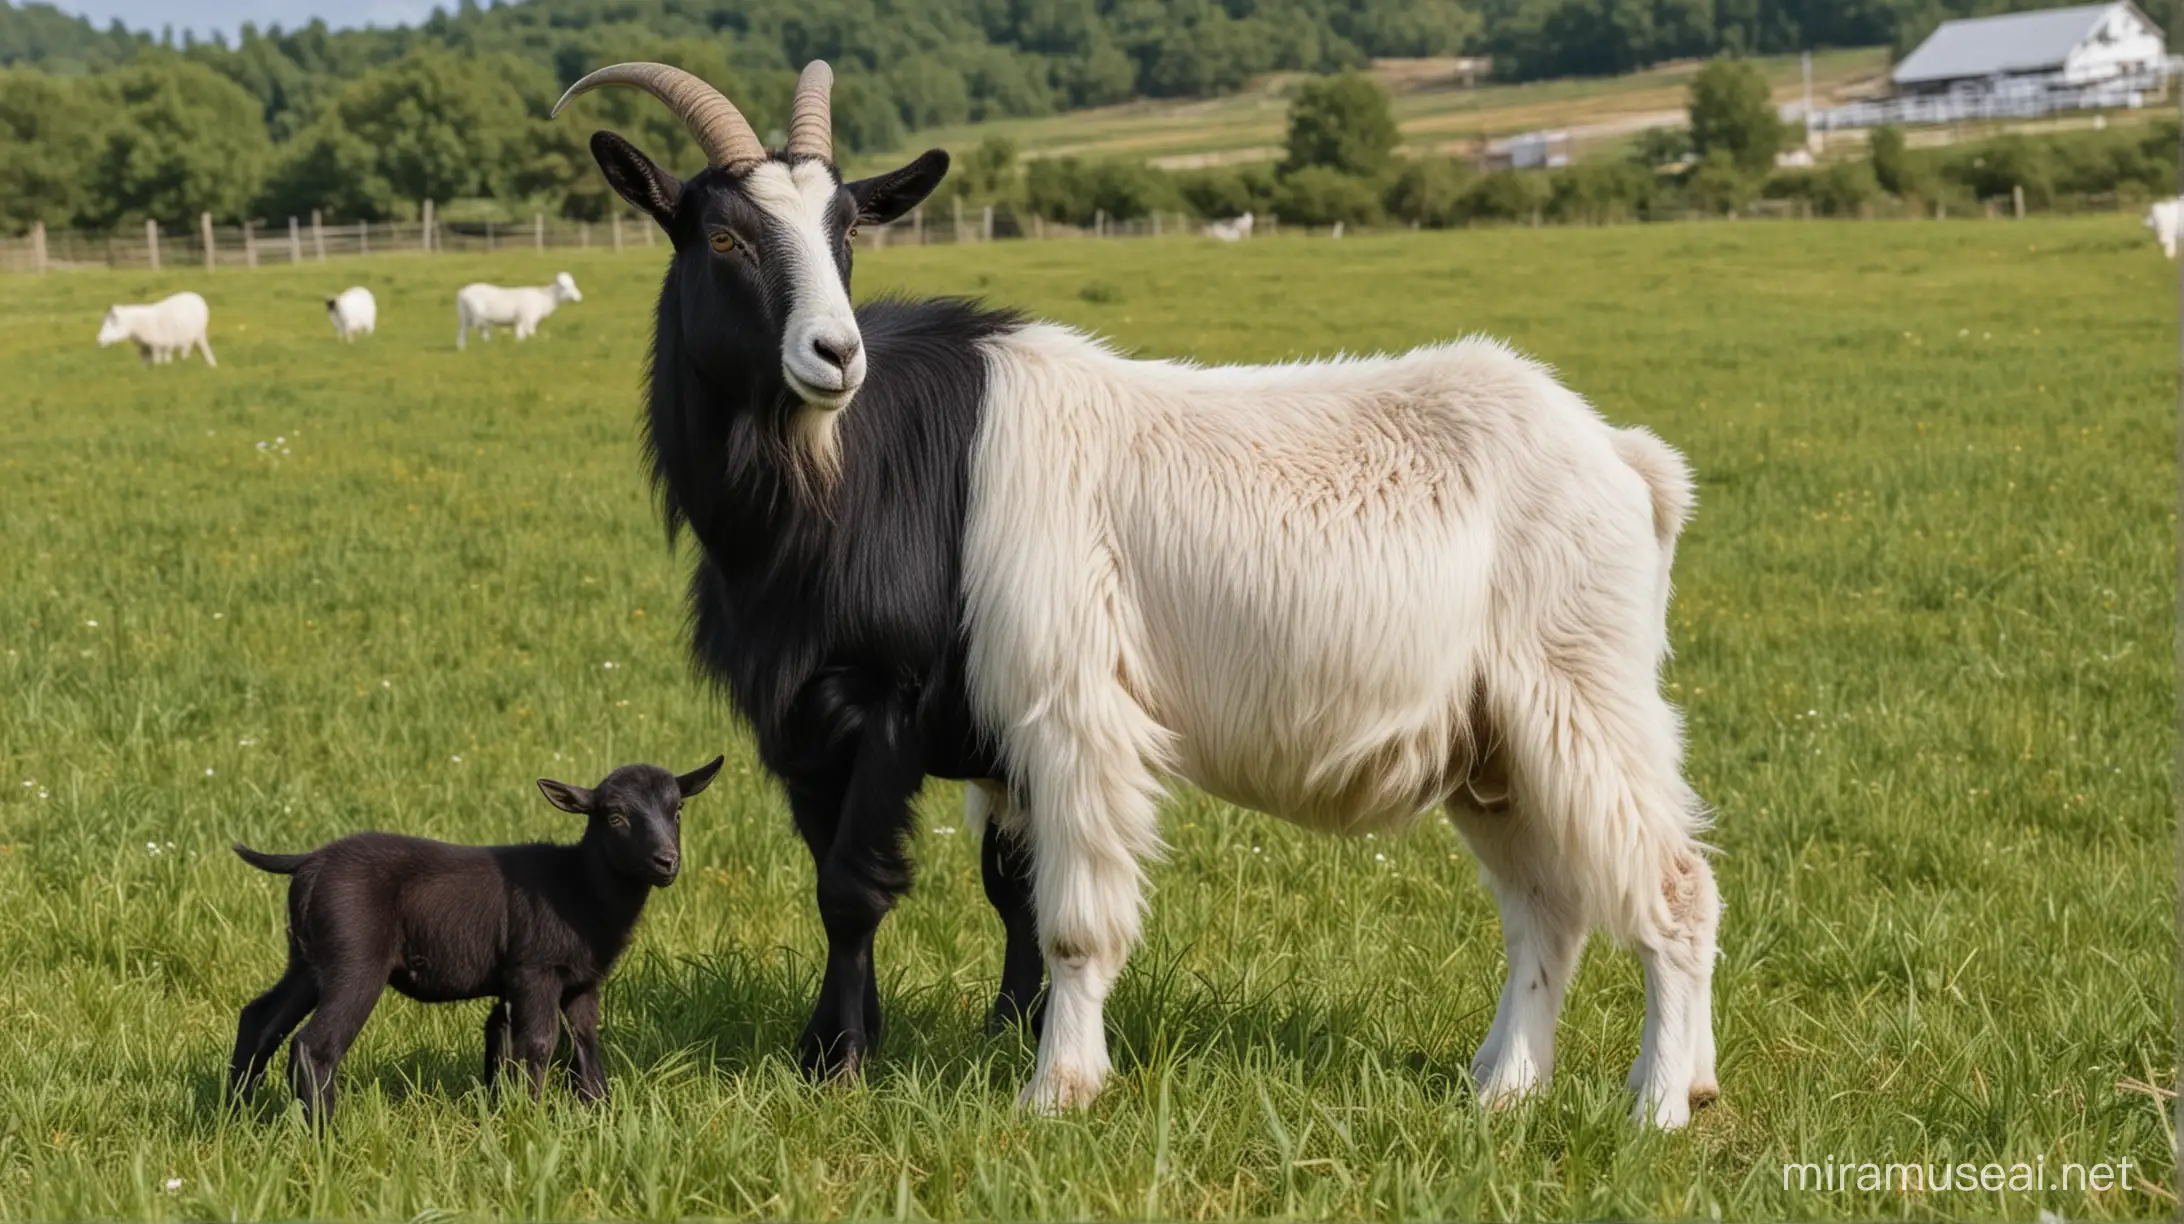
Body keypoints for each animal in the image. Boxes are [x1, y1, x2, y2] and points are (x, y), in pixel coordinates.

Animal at [228, 756, 725, 1119]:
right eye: (616, 817)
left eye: (678, 810)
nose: (667, 861)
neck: (580, 885)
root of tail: (309, 861)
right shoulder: (535, 969)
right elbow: (539, 1044)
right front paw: (531, 1123)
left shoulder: (577, 981)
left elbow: (578, 1047)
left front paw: (596, 1116)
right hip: (355, 958)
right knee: (314, 1045)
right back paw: (325, 1135)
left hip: (309, 958)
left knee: (260, 1020)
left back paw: (236, 1115)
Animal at [452, 275, 580, 351]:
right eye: (564, 286)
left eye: (573, 283)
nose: (579, 297)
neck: (545, 298)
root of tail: (463, 292)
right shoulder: (527, 319)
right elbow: (530, 334)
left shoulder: (520, 320)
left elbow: (520, 335)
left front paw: (520, 345)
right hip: (478, 315)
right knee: (481, 329)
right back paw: (488, 345)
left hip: (464, 316)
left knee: (462, 332)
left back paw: (462, 348)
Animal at [554, 57, 1712, 1127]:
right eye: (724, 239)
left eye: (846, 234)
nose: (836, 354)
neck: (850, 477)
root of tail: (1624, 457)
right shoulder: (833, 726)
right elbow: (977, 895)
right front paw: (943, 1038)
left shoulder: (1030, 709)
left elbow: (967, 904)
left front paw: (1026, 1083)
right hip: (1491, 746)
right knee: (1545, 909)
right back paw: (1507, 1088)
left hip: (1583, 698)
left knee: (1671, 887)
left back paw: (1662, 1101)